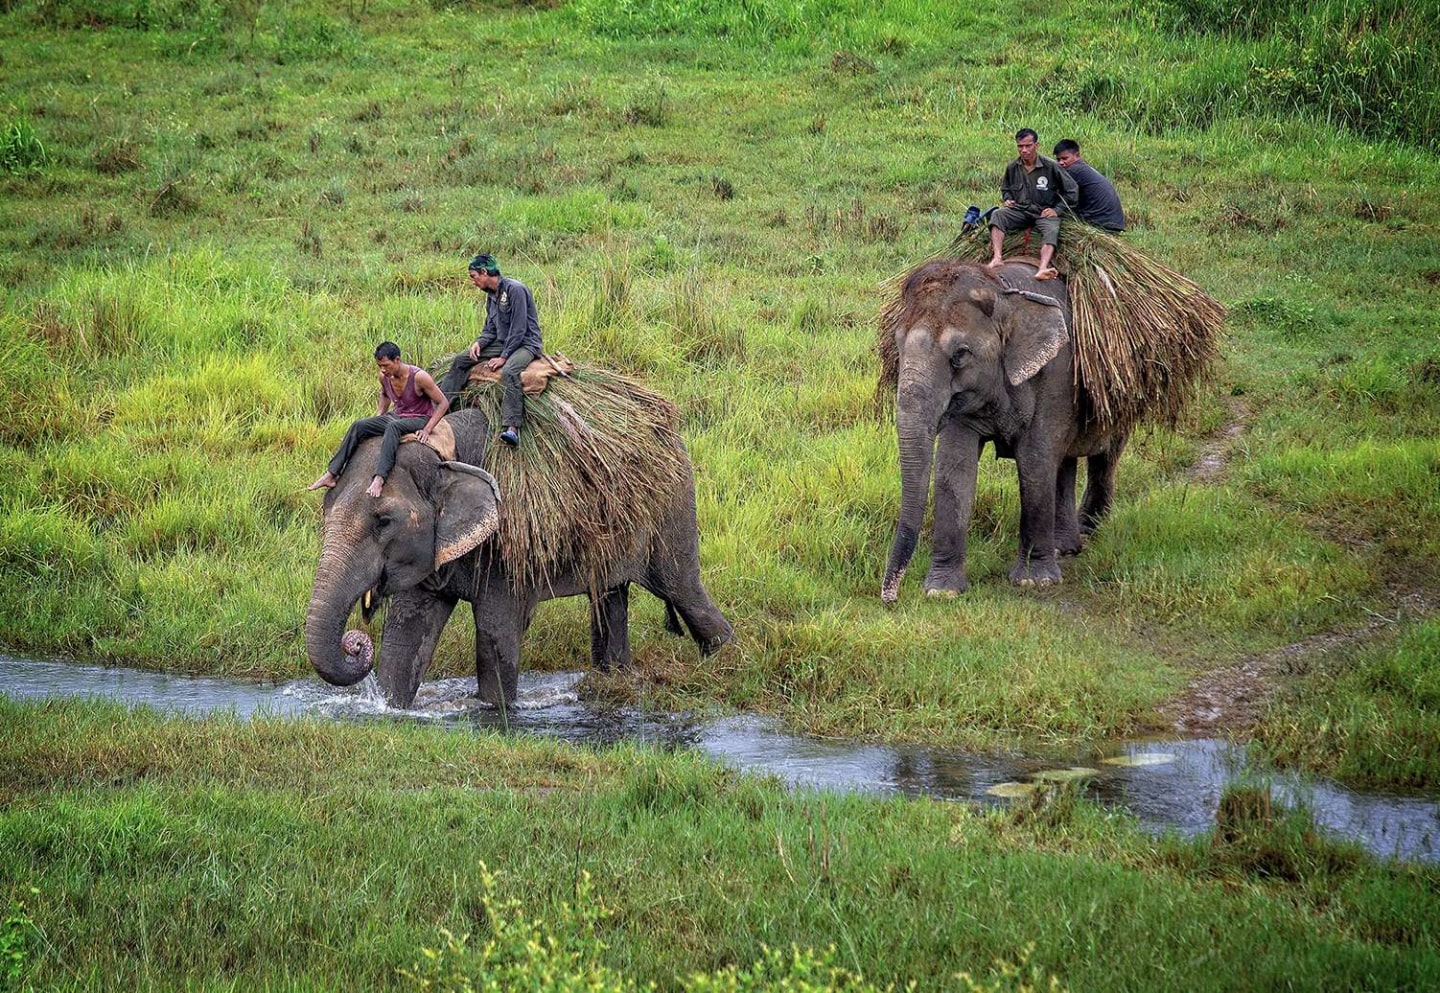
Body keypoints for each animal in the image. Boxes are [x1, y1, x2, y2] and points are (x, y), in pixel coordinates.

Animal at [303, 405, 731, 708]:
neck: (445, 451)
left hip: (672, 505)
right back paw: (614, 681)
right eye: (325, 507)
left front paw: (497, 711)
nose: (355, 643)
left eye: (384, 521)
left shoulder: (507, 538)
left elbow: (496, 633)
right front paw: (391, 708)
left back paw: (724, 661)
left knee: (682, 589)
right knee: (610, 598)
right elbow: (405, 635)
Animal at [875, 257, 1123, 595]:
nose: (889, 596)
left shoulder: (1057, 371)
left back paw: (1086, 529)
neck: (1002, 292)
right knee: (1065, 462)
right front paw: (942, 591)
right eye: (897, 347)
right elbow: (953, 468)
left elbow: (1034, 461)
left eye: (960, 355)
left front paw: (1034, 582)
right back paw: (1065, 548)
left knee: (1103, 452)